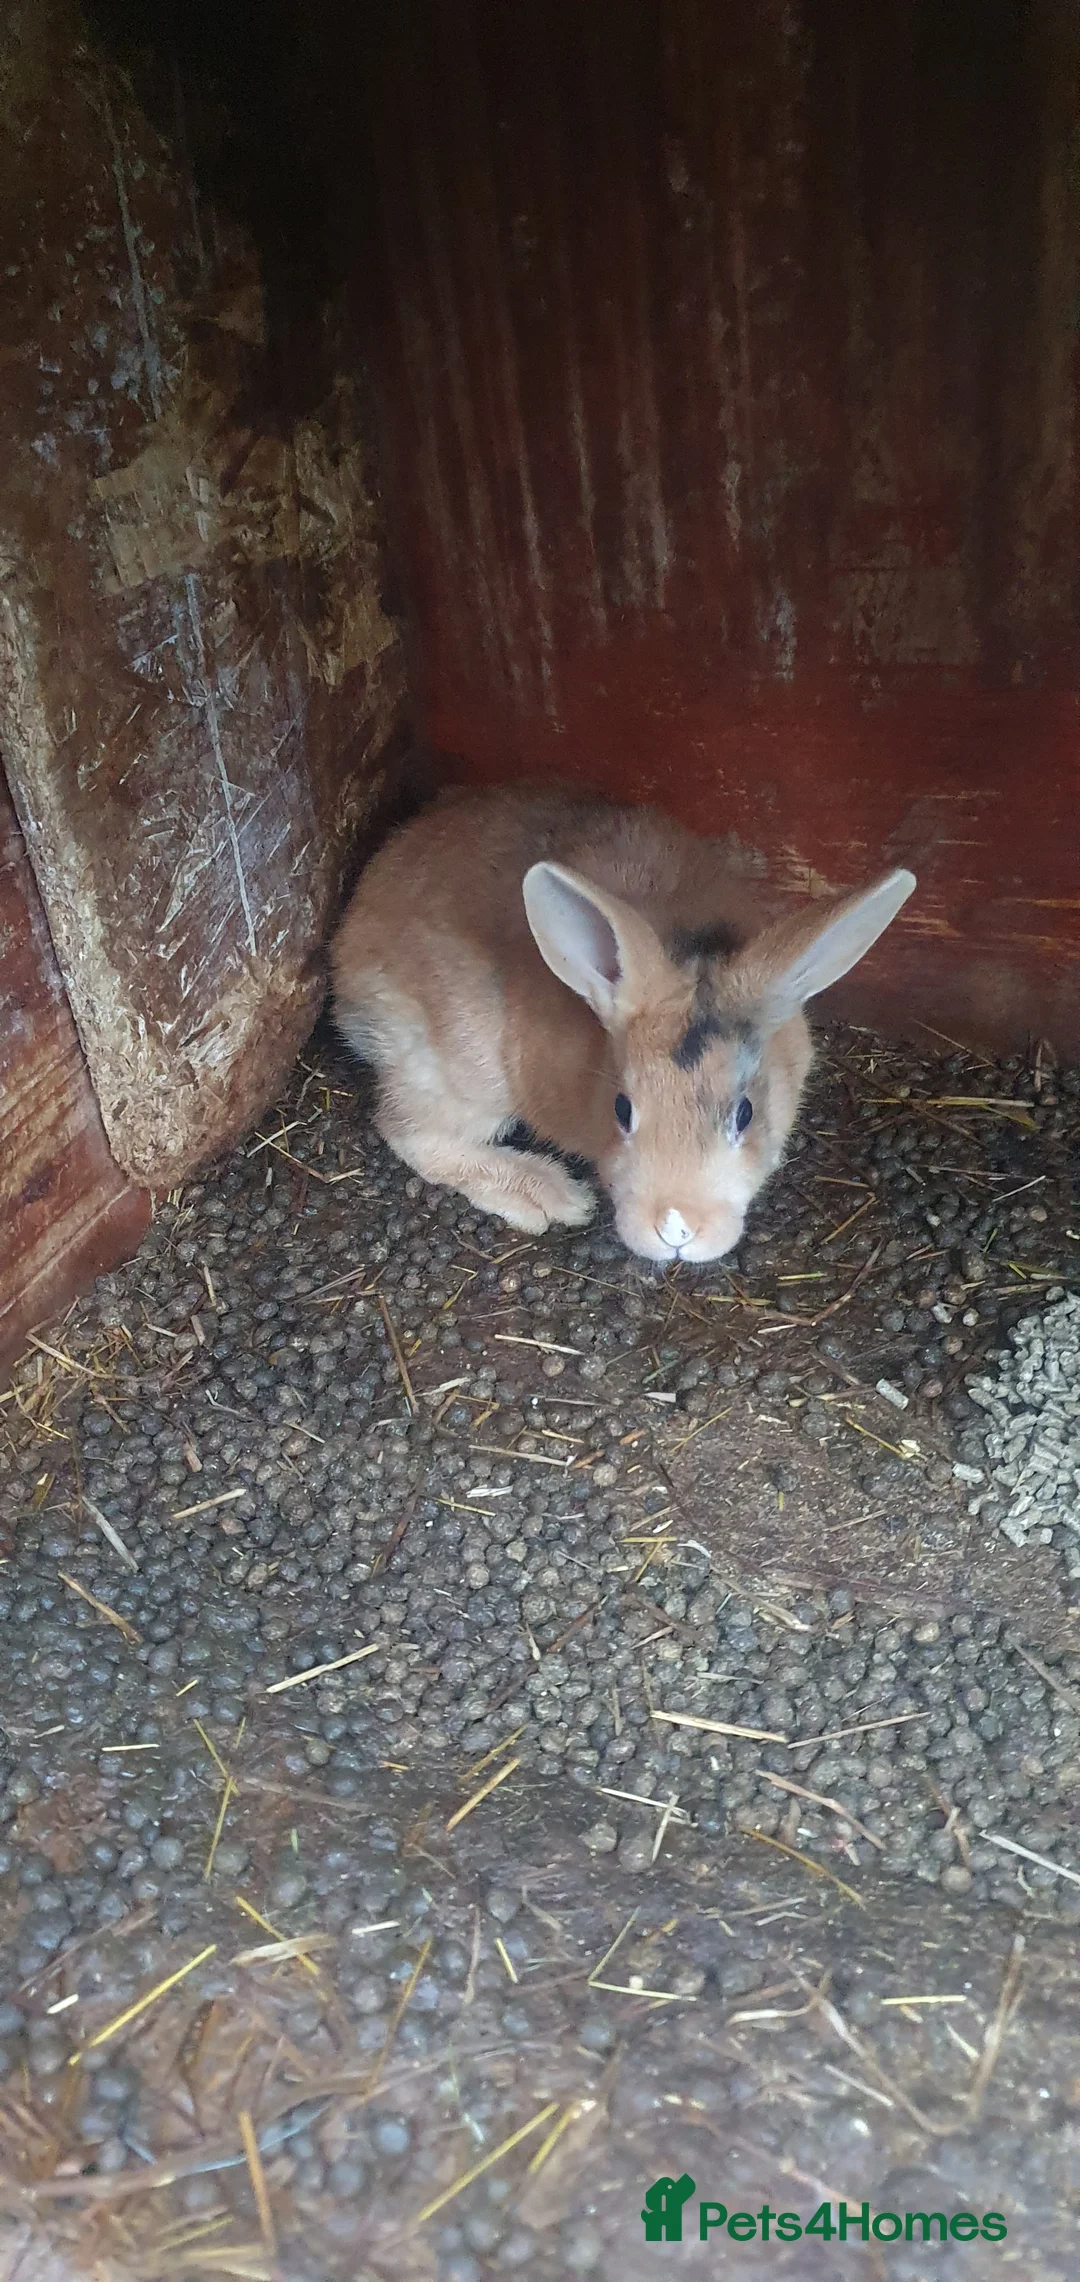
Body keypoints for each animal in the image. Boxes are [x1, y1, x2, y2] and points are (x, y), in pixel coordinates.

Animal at [330, 784, 915, 1264]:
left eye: (745, 1114)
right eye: (623, 1110)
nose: (676, 1229)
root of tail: (346, 945)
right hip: (463, 1069)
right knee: (410, 1132)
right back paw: (548, 1194)